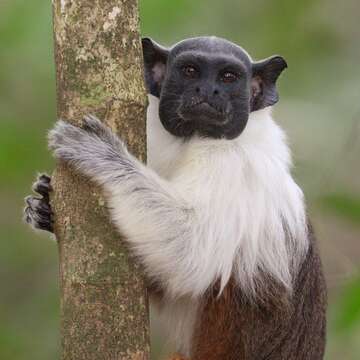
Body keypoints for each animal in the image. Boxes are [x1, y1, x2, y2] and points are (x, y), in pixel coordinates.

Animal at [24, 36, 326, 360]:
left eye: (228, 77)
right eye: (190, 71)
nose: (207, 91)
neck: (195, 139)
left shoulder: (234, 165)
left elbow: (191, 251)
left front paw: (105, 158)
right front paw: (42, 208)